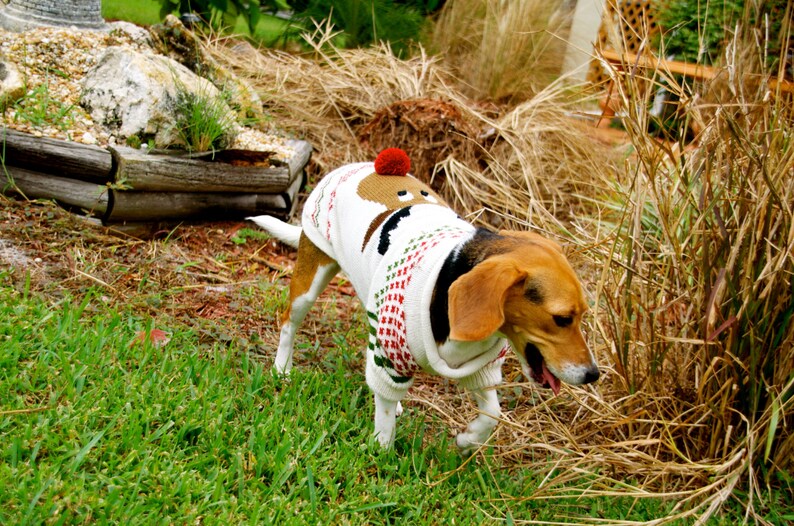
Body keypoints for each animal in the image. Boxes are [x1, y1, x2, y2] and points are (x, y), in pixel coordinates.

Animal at [251, 150, 596, 454]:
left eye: (581, 316)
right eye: (561, 318)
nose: (593, 374)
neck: (451, 271)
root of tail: (351, 167)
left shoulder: (480, 369)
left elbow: (492, 414)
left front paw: (468, 439)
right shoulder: (391, 353)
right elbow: (384, 418)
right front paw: (381, 453)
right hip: (310, 281)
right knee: (289, 323)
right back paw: (282, 368)